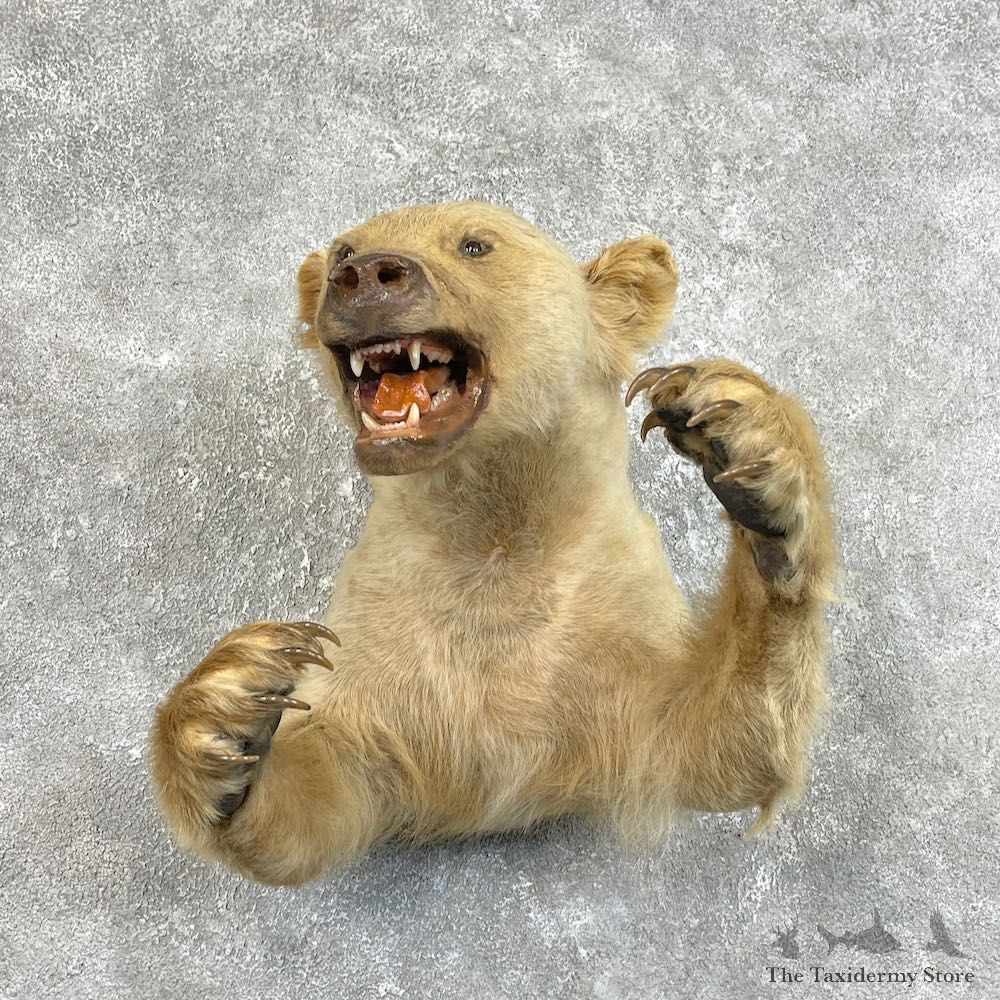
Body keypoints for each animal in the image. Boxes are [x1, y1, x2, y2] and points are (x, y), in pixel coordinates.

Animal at [151, 201, 836, 886]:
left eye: (475, 245)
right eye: (344, 249)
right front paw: (231, 702)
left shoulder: (611, 631)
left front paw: (740, 435)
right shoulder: (388, 643)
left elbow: (711, 744)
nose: (366, 276)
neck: (496, 526)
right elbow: (323, 796)